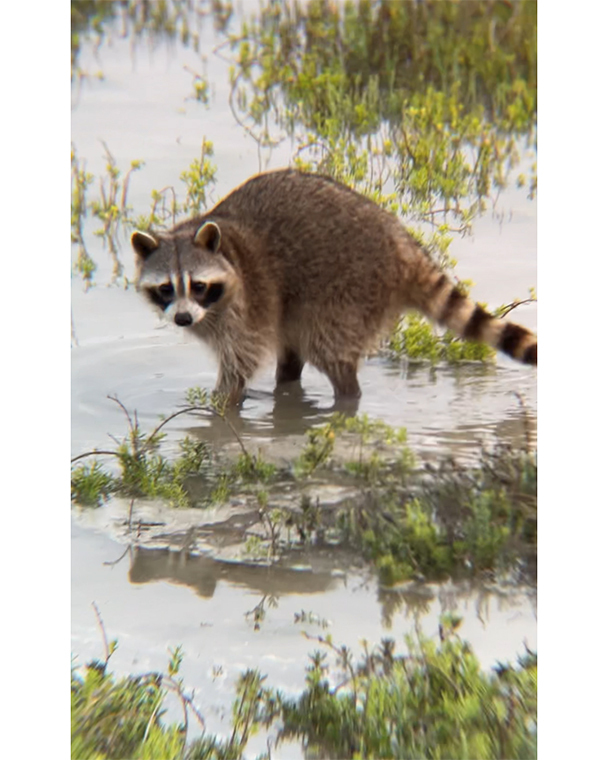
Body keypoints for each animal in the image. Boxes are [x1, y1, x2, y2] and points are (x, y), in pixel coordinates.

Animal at [133, 166, 536, 404]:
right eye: (167, 288)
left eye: (198, 285)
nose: (183, 319)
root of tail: (400, 243)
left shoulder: (246, 304)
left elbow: (239, 362)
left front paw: (219, 403)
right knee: (292, 348)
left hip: (349, 288)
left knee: (327, 350)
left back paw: (345, 395)